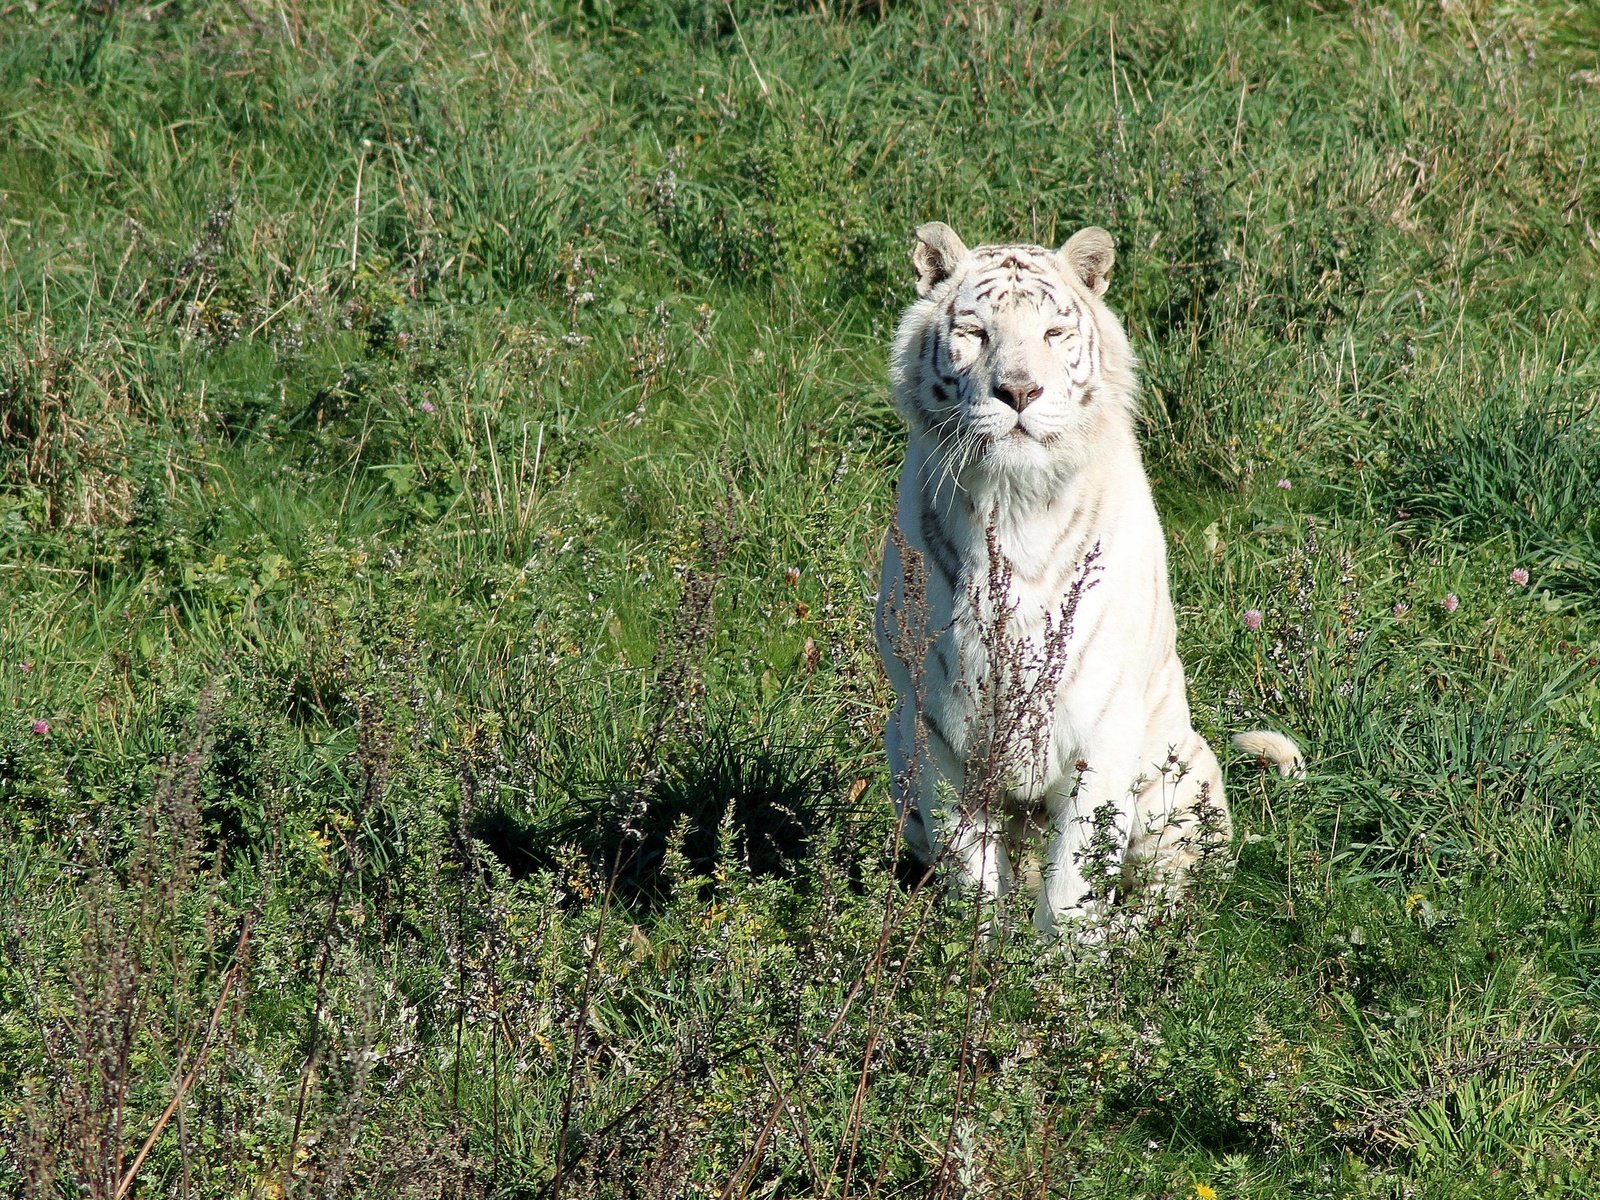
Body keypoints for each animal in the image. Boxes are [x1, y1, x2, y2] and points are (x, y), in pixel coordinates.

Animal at [876, 225, 1299, 940]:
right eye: (975, 333)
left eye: (1053, 333)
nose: (1019, 393)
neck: (1014, 504)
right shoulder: (937, 731)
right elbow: (972, 869)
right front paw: (978, 952)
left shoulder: (1099, 727)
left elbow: (1077, 873)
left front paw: (1063, 965)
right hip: (896, 739)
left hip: (1179, 779)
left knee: (1168, 891)